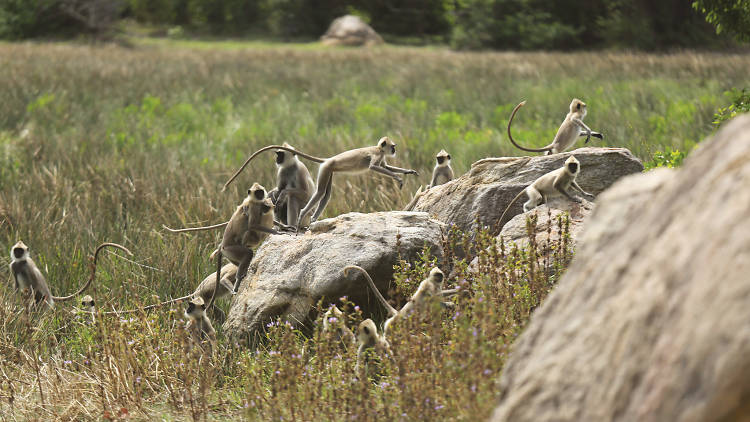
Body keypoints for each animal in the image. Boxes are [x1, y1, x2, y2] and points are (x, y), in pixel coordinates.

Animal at [223, 137, 424, 229]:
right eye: (392, 146)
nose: (394, 149)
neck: (378, 149)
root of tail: (328, 159)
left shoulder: (382, 158)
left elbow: (386, 166)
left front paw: (407, 172)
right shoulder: (376, 155)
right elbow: (374, 167)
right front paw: (398, 178)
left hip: (330, 171)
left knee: (326, 195)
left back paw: (312, 218)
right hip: (326, 169)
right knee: (319, 193)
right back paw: (303, 215)